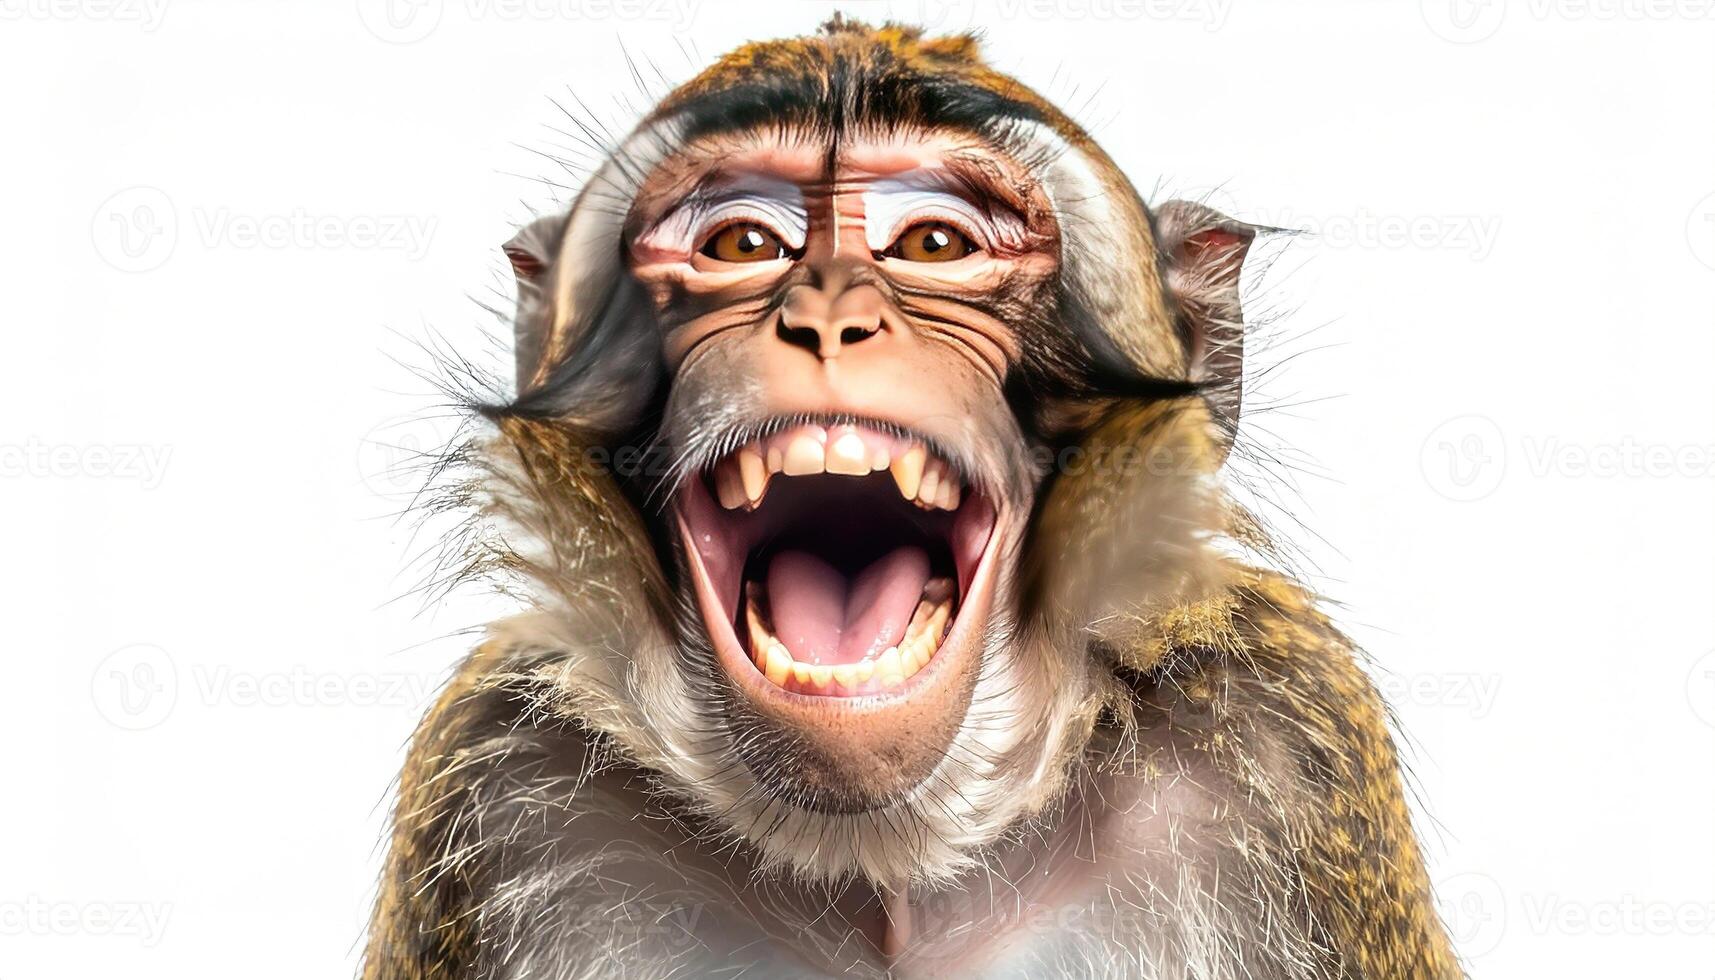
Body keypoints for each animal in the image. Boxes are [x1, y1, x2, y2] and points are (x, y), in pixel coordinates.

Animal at [363, 18, 1461, 980]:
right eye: (741, 244)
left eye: (932, 243)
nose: (827, 317)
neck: (885, 872)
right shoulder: (496, 779)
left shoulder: (1282, 735)